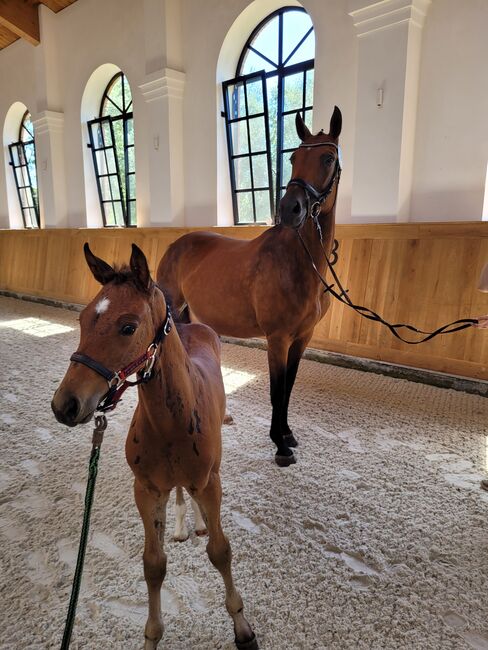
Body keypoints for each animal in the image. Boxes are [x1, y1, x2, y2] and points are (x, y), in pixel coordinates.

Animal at [51, 244, 258, 650]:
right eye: (82, 319)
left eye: (128, 326)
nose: (65, 405)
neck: (171, 424)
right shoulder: (146, 490)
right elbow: (153, 564)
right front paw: (152, 635)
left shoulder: (210, 482)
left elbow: (221, 551)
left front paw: (242, 628)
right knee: (179, 492)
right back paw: (182, 525)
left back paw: (198, 522)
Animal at [157, 107, 342, 467]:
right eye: (294, 157)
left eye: (328, 158)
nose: (290, 209)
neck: (299, 263)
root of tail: (177, 245)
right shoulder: (277, 338)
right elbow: (276, 390)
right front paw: (280, 446)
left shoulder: (302, 337)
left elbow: (288, 388)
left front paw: (287, 435)